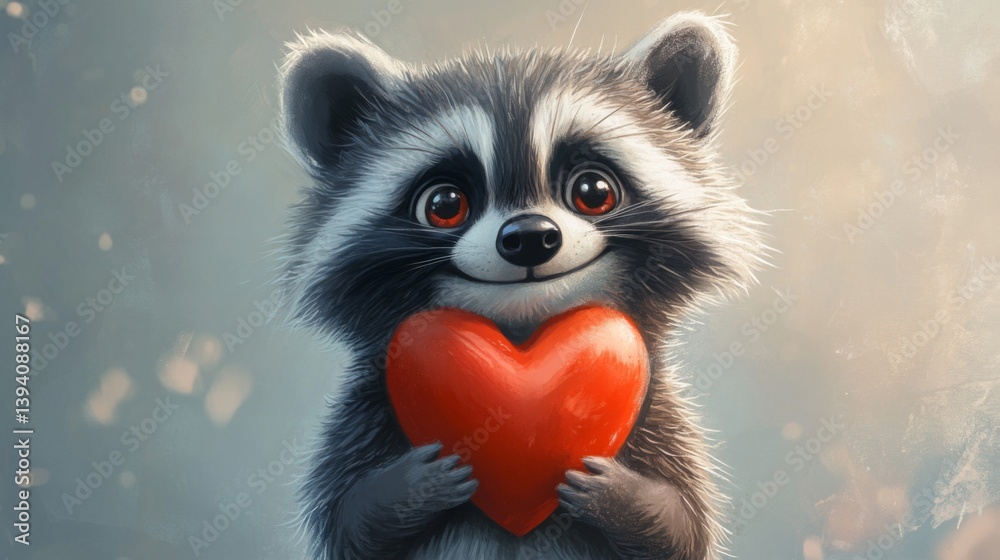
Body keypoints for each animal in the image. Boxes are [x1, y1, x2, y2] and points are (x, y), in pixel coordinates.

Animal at [278, 11, 762, 560]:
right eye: (444, 204)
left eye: (593, 191)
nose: (530, 237)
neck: (523, 328)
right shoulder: (365, 410)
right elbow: (350, 523)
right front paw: (415, 484)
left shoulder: (658, 414)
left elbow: (681, 527)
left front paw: (619, 494)